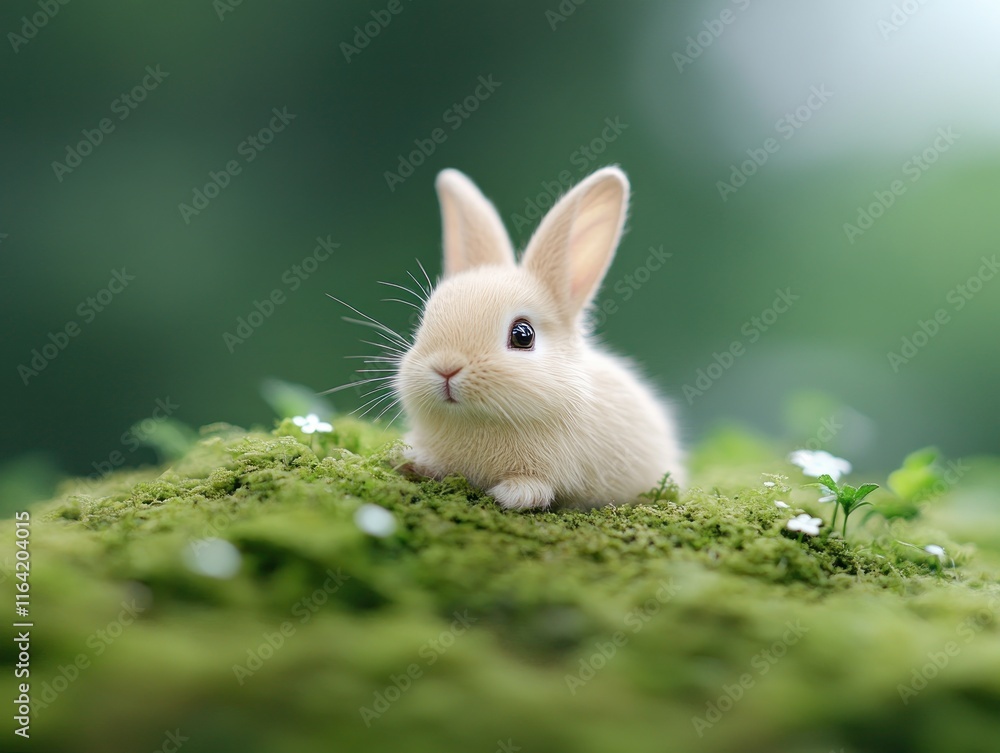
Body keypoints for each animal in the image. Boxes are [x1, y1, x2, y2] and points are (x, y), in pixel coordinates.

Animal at [394, 166, 685, 509]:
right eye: (424, 321)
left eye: (523, 335)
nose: (446, 368)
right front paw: (411, 461)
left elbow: (537, 486)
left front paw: (513, 494)